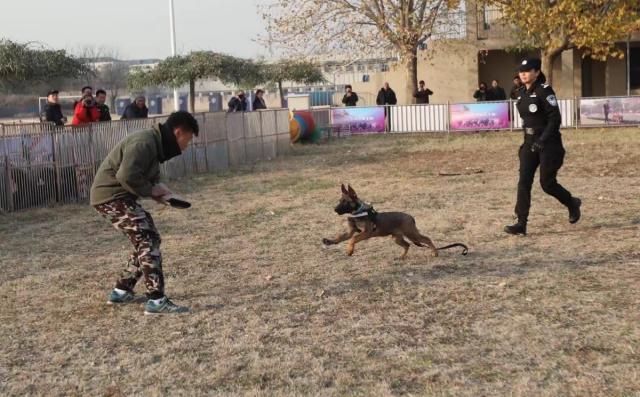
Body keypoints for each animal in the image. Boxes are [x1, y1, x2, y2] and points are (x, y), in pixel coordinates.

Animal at [322, 184, 468, 258]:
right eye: (340, 201)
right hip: (397, 238)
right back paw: (401, 256)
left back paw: (435, 252)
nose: (335, 209)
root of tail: (411, 217)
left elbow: (353, 239)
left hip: (411, 234)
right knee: (407, 245)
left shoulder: (366, 232)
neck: (358, 212)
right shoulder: (351, 231)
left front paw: (349, 250)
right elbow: (341, 237)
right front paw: (330, 241)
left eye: (345, 202)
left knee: (426, 239)